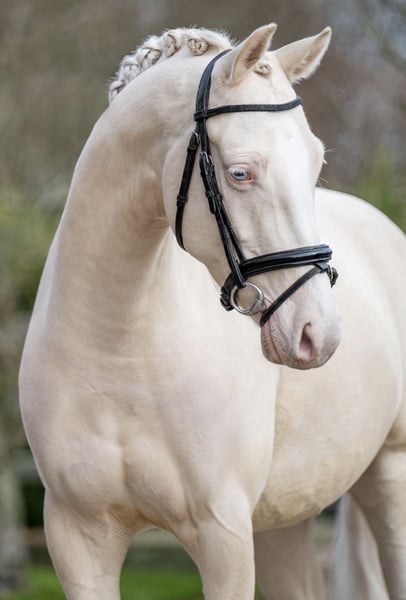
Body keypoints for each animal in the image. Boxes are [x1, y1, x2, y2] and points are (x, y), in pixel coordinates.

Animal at [19, 24, 406, 599]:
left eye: (316, 164)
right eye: (240, 173)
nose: (320, 334)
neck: (120, 347)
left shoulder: (222, 535)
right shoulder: (78, 540)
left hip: (390, 477)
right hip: (283, 521)